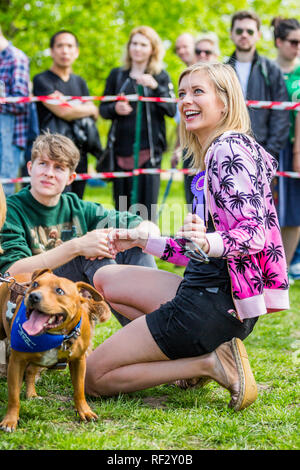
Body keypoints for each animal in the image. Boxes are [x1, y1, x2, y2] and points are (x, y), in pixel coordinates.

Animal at [0, 270, 110, 432]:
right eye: (35, 284)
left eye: (59, 291)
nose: (33, 296)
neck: (56, 336)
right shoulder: (16, 362)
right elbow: (13, 396)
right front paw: (10, 420)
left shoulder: (79, 362)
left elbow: (79, 390)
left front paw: (85, 412)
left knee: (31, 371)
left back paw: (31, 394)